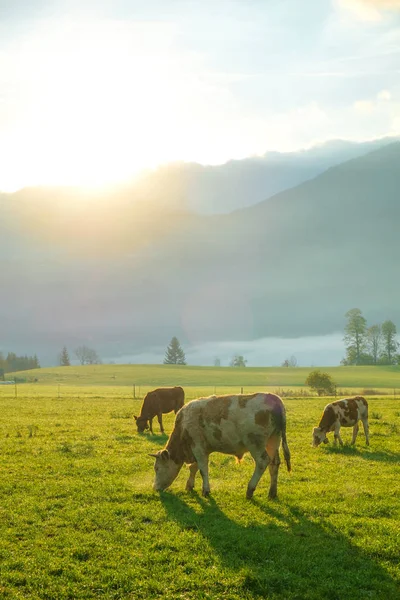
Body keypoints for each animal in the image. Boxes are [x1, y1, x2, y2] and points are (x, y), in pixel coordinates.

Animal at [148, 392, 290, 500]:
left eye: (157, 468)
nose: (155, 488)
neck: (183, 425)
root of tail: (275, 399)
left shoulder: (198, 447)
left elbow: (202, 469)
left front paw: (205, 490)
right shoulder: (198, 450)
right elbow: (193, 468)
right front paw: (189, 485)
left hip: (255, 443)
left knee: (262, 462)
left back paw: (250, 489)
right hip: (274, 440)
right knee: (274, 463)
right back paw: (272, 493)